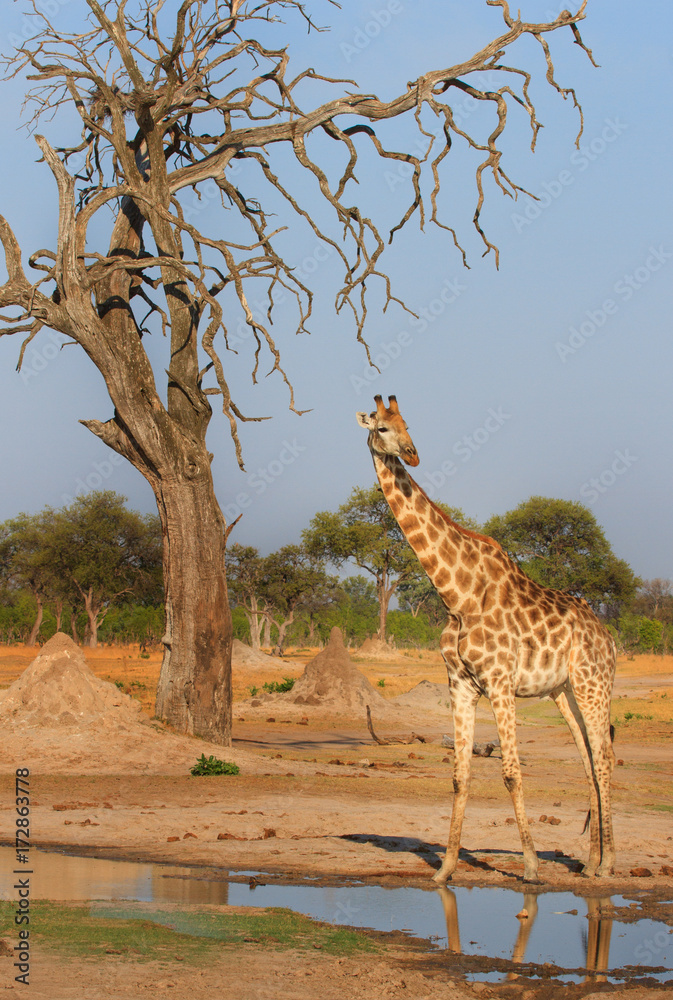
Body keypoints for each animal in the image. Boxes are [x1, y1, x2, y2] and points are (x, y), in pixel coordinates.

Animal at [356, 394, 616, 883]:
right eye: (381, 427)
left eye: (407, 424)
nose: (412, 453)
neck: (456, 594)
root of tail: (609, 639)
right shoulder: (460, 684)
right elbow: (460, 774)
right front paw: (445, 869)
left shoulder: (499, 682)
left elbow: (512, 771)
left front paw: (531, 866)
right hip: (565, 691)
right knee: (590, 760)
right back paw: (590, 863)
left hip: (596, 686)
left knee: (605, 757)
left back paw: (610, 864)